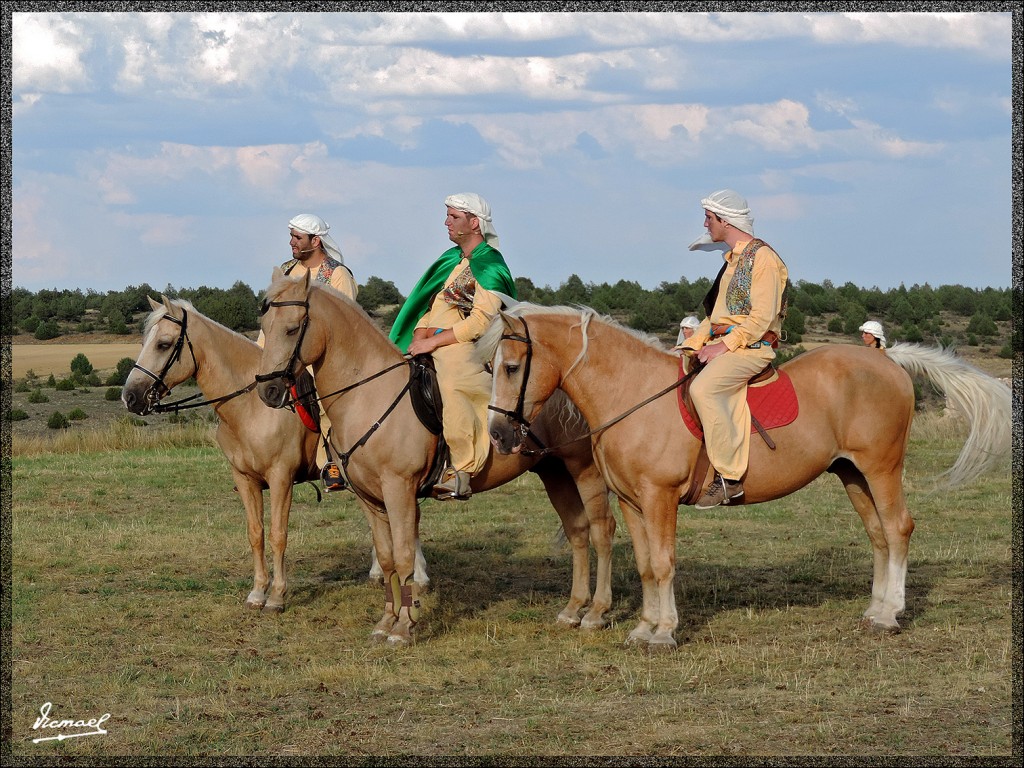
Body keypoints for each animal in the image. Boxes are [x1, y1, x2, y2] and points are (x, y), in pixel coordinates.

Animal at [122, 296, 428, 618]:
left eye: (164, 344)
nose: (130, 396)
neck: (250, 408)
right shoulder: (245, 479)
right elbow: (255, 533)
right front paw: (258, 592)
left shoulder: (281, 477)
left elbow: (278, 534)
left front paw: (277, 596)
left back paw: (418, 577)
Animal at [254, 268, 614, 647]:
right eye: (264, 324)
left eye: (292, 328)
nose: (268, 390)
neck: (368, 394)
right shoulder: (370, 499)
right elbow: (386, 559)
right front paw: (386, 621)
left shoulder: (399, 490)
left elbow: (404, 557)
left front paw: (403, 628)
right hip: (554, 471)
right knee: (578, 531)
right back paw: (572, 610)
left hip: (584, 469)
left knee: (602, 530)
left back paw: (596, 613)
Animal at [483, 303, 1011, 651]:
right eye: (489, 366)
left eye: (510, 367)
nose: (499, 435)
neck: (632, 394)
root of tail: (888, 361)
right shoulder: (634, 503)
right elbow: (646, 565)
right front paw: (643, 628)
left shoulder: (659, 499)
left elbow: (664, 564)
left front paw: (664, 632)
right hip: (852, 475)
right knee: (879, 536)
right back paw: (876, 610)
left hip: (881, 469)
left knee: (899, 529)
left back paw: (890, 617)